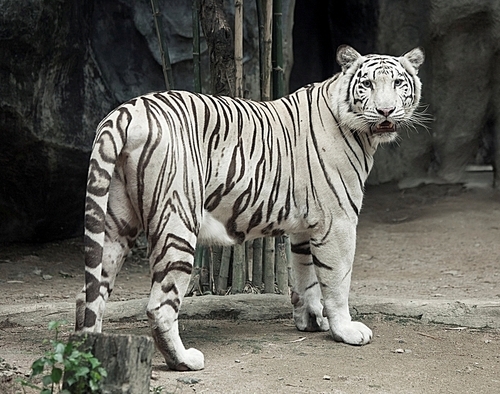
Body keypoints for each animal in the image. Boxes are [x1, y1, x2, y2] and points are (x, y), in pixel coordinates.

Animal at [76, 44, 424, 370]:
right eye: (367, 84)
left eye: (397, 82)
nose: (386, 111)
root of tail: (125, 111)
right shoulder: (337, 221)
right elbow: (337, 280)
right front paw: (346, 330)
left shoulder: (306, 226)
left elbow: (305, 275)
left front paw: (311, 320)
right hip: (177, 221)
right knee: (159, 306)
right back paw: (184, 360)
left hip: (114, 223)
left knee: (87, 296)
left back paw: (90, 358)